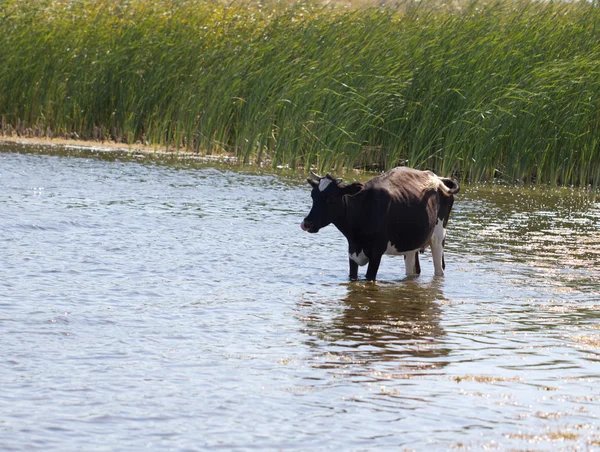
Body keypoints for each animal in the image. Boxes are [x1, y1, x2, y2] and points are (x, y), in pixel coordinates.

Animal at [300, 166, 460, 278]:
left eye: (330, 197)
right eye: (313, 195)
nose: (307, 223)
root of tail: (437, 177)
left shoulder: (376, 252)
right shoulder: (352, 252)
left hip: (439, 236)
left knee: (439, 269)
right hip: (411, 244)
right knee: (413, 270)